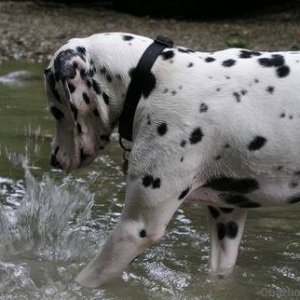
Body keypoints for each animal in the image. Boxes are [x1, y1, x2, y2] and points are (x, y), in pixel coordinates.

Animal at [44, 32, 300, 288]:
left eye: (55, 111)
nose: (53, 159)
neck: (154, 81)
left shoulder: (135, 230)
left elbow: (85, 280)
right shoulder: (226, 217)